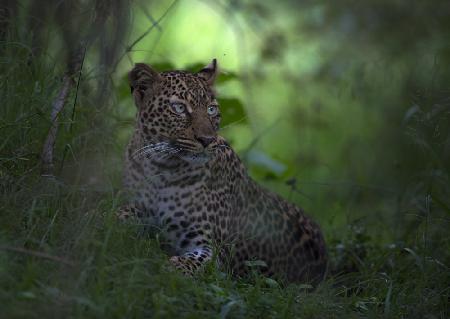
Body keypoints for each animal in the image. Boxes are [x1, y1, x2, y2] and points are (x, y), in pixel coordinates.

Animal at [117, 58, 326, 284]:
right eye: (179, 108)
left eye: (211, 110)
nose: (207, 140)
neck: (162, 168)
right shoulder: (138, 203)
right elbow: (122, 213)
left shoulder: (213, 249)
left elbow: (188, 264)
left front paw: (163, 269)